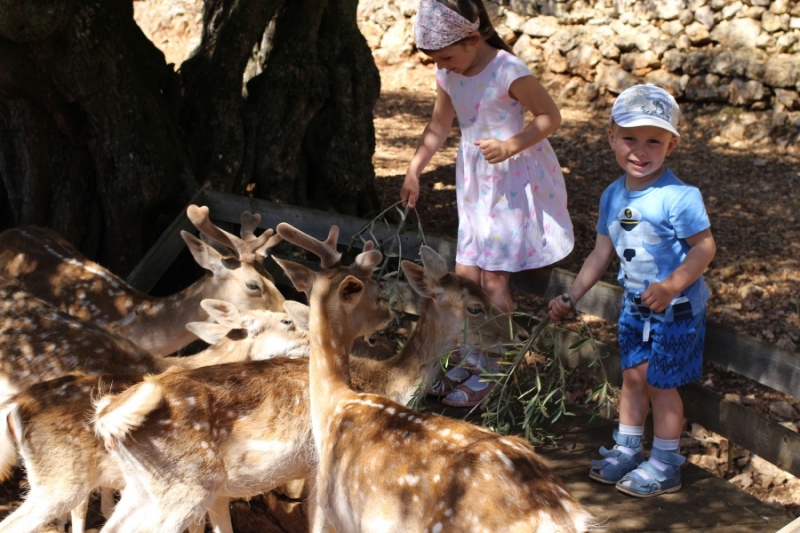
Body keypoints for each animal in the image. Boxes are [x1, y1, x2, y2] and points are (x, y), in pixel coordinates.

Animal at [92, 235, 524, 532]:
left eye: (485, 295)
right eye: (475, 307)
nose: (516, 336)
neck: (387, 381)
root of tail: (106, 418)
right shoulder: (319, 468)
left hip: (142, 487)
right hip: (181, 489)